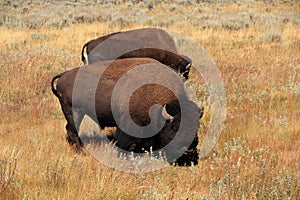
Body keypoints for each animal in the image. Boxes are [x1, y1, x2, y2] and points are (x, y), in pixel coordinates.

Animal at [51, 57, 203, 166]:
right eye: (174, 128)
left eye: (196, 127)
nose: (189, 153)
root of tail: (64, 75)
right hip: (73, 111)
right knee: (72, 130)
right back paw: (81, 151)